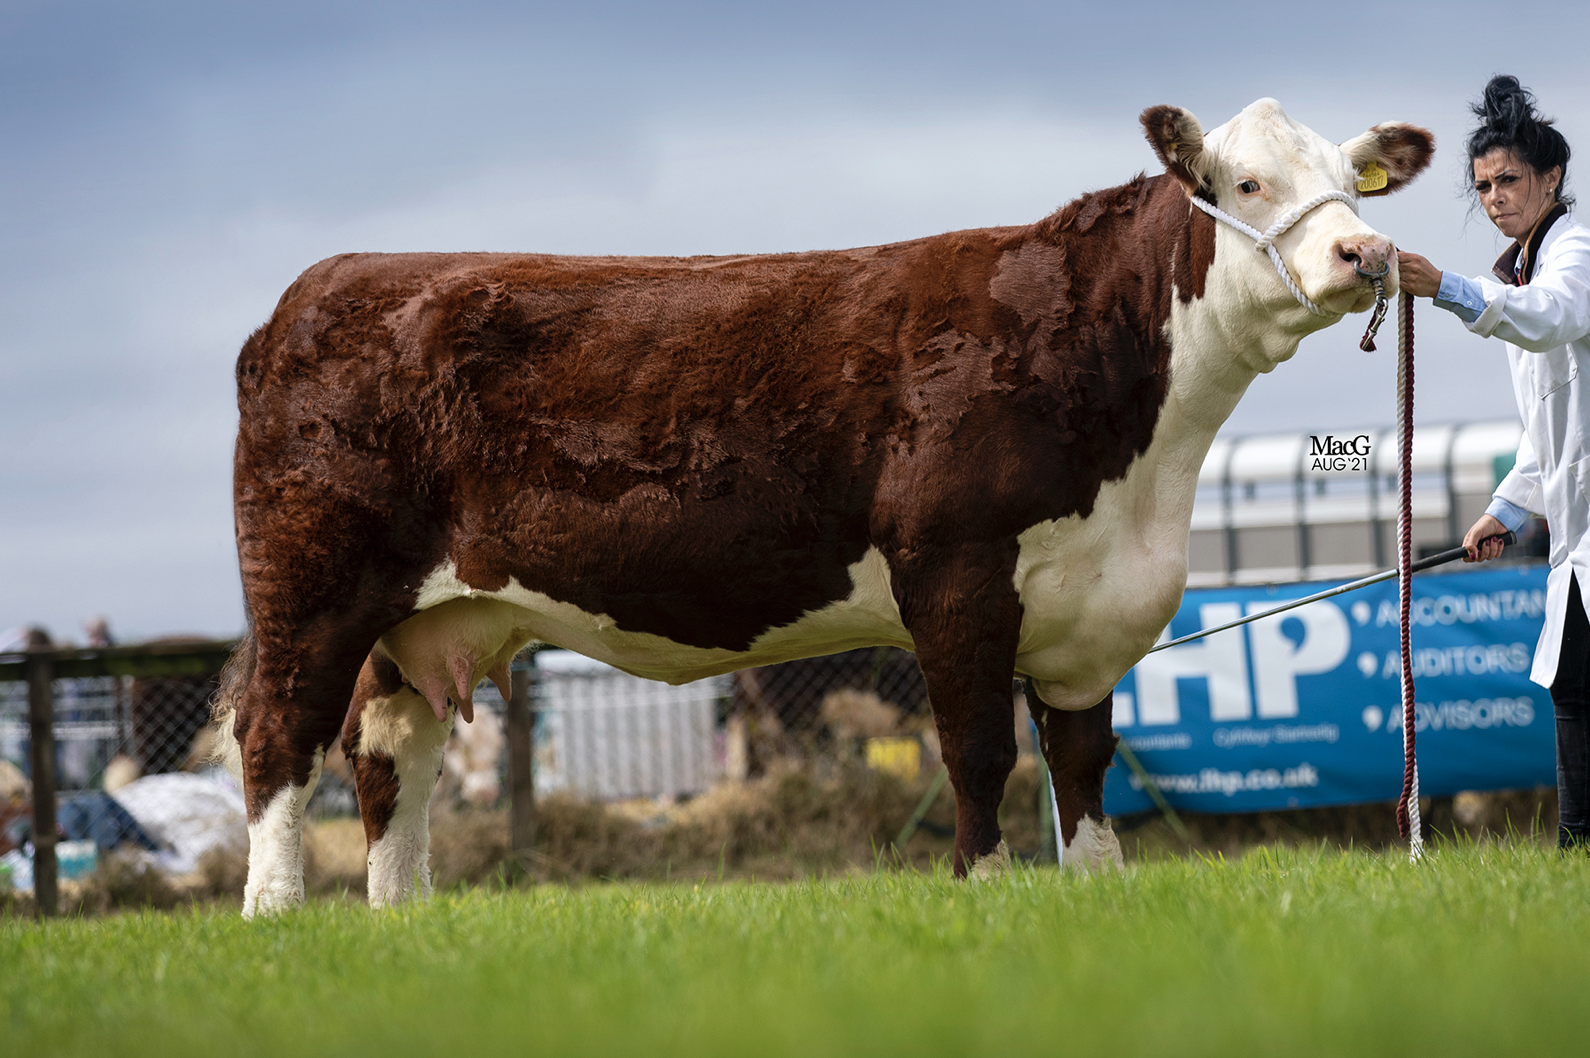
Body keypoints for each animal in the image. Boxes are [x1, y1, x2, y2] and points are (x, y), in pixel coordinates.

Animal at [217, 99, 1437, 910]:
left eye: (1350, 176)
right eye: (1246, 184)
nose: (1363, 250)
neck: (1146, 469)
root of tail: (315, 292)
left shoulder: (1096, 607)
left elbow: (1084, 761)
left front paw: (1095, 886)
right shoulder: (954, 571)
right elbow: (980, 750)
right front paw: (984, 883)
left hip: (419, 617)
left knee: (391, 750)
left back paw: (400, 916)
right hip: (313, 584)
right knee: (279, 734)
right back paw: (277, 913)